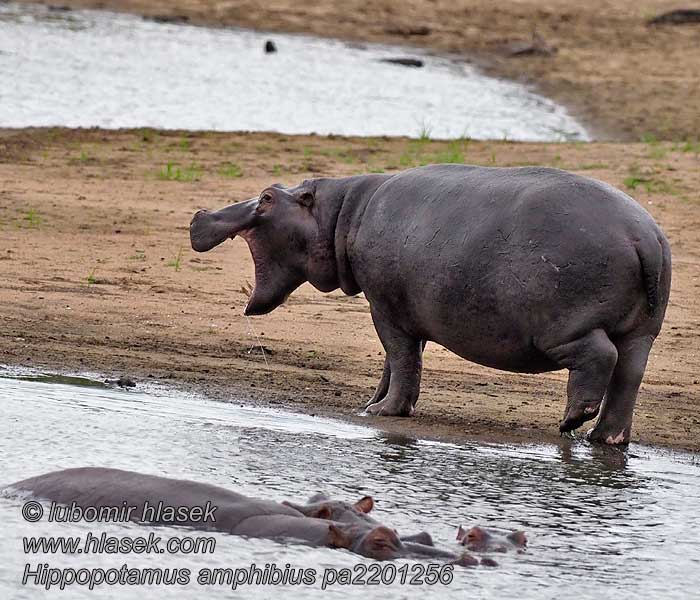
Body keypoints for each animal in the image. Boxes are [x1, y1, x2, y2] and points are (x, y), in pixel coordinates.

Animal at [191, 166, 672, 442]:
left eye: (267, 197)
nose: (199, 215)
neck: (340, 214)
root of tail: (644, 236)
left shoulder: (385, 307)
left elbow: (401, 357)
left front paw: (385, 411)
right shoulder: (398, 309)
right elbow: (399, 360)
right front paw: (370, 405)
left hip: (562, 328)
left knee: (599, 358)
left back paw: (572, 422)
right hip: (642, 334)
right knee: (628, 378)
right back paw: (603, 439)